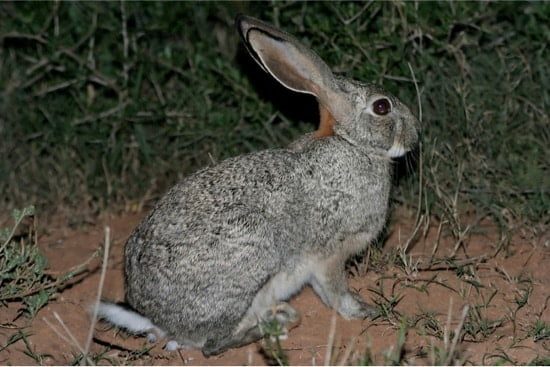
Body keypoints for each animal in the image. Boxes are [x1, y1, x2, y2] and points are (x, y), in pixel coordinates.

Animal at [97, 13, 420, 356]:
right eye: (382, 107)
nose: (416, 133)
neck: (352, 144)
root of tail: (159, 319)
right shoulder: (331, 253)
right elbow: (335, 291)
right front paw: (362, 311)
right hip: (248, 259)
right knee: (212, 345)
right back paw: (275, 323)